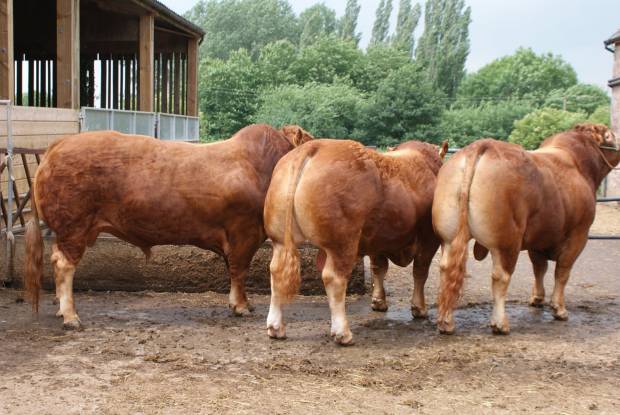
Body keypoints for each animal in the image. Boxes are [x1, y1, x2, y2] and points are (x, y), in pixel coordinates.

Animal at [24, 123, 314, 328]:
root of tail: (60, 143)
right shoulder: (245, 232)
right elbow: (239, 271)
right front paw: (241, 306)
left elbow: (232, 270)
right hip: (74, 227)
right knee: (64, 266)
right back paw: (71, 317)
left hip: (67, 231)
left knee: (56, 260)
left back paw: (61, 309)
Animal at [262, 138, 446, 346]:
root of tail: (313, 146)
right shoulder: (429, 237)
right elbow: (420, 272)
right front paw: (419, 308)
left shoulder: (378, 239)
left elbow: (378, 269)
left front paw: (379, 302)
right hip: (343, 243)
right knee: (334, 278)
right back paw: (343, 333)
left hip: (279, 239)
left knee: (276, 272)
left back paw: (275, 327)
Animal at [434, 123, 616, 334]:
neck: (579, 164)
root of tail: (481, 145)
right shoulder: (579, 234)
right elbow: (562, 272)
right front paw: (559, 309)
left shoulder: (539, 238)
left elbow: (539, 268)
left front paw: (537, 299)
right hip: (507, 241)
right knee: (501, 276)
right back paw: (500, 323)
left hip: (448, 237)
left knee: (447, 269)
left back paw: (446, 322)